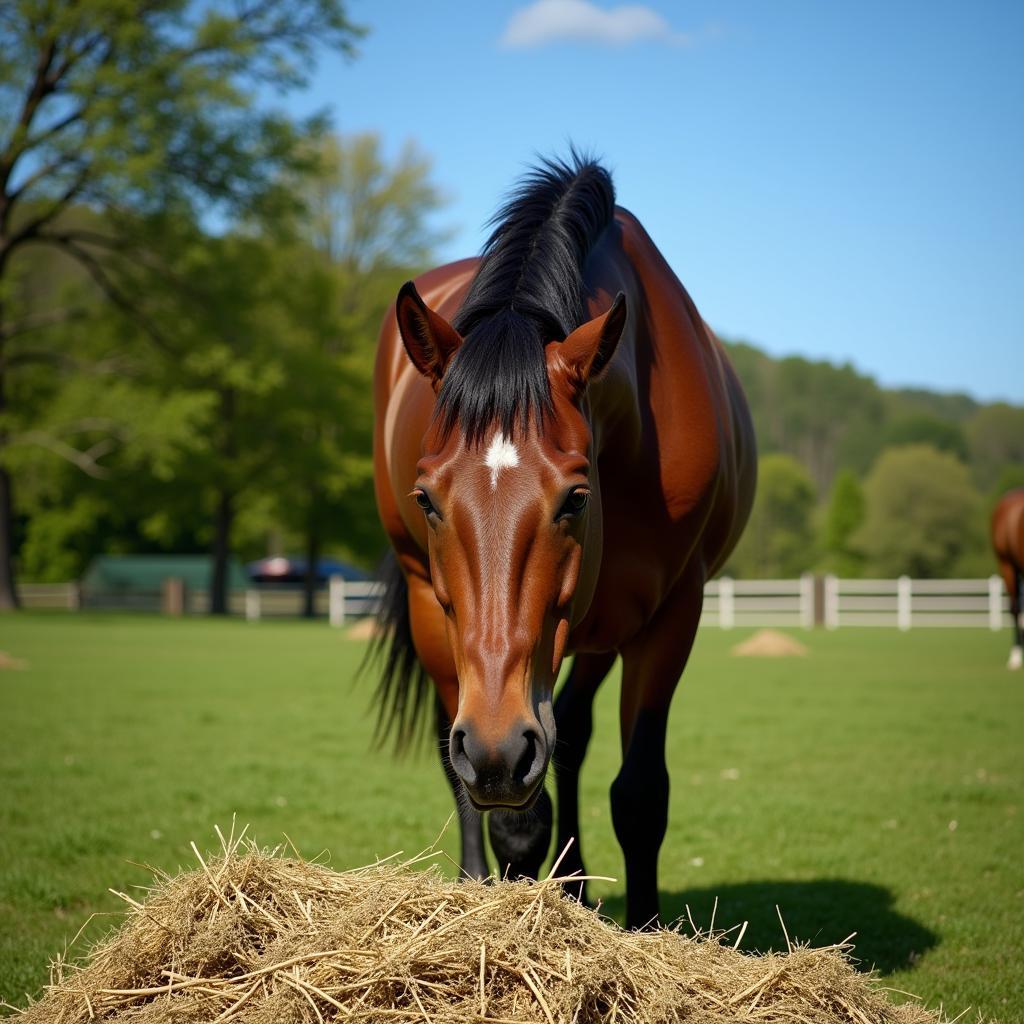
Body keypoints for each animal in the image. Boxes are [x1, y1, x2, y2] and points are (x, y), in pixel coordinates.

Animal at [368, 153, 753, 929]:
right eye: (427, 498)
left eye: (575, 497)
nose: (496, 747)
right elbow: (517, 819)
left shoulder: (673, 612)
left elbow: (639, 795)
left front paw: (643, 929)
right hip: (439, 621)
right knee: (463, 763)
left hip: (602, 628)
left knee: (568, 735)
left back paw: (573, 884)